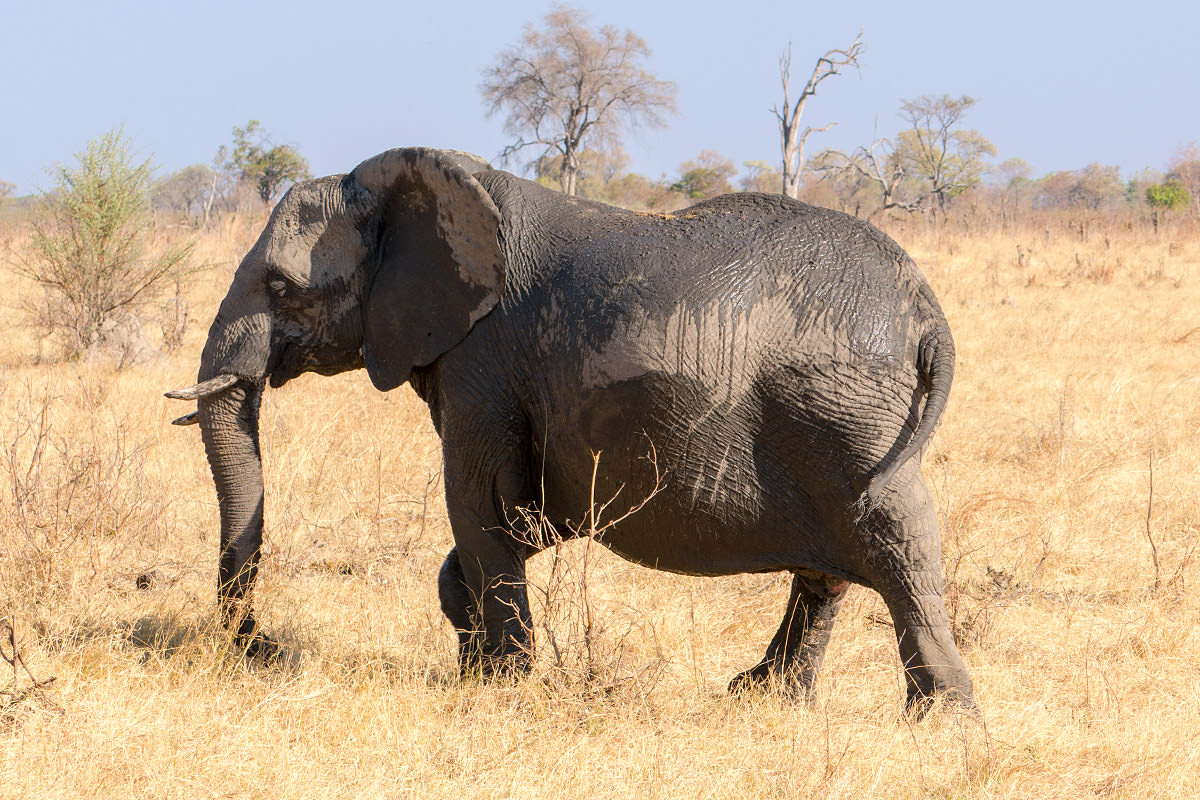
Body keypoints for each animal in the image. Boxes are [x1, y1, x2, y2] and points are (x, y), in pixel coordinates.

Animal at [166, 145, 974, 714]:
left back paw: (941, 718)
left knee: (895, 537)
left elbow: (482, 501)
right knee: (833, 564)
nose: (260, 645)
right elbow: (511, 519)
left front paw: (502, 684)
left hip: (845, 410)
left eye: (281, 287)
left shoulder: (481, 359)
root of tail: (927, 310)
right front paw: (475, 667)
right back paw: (765, 697)